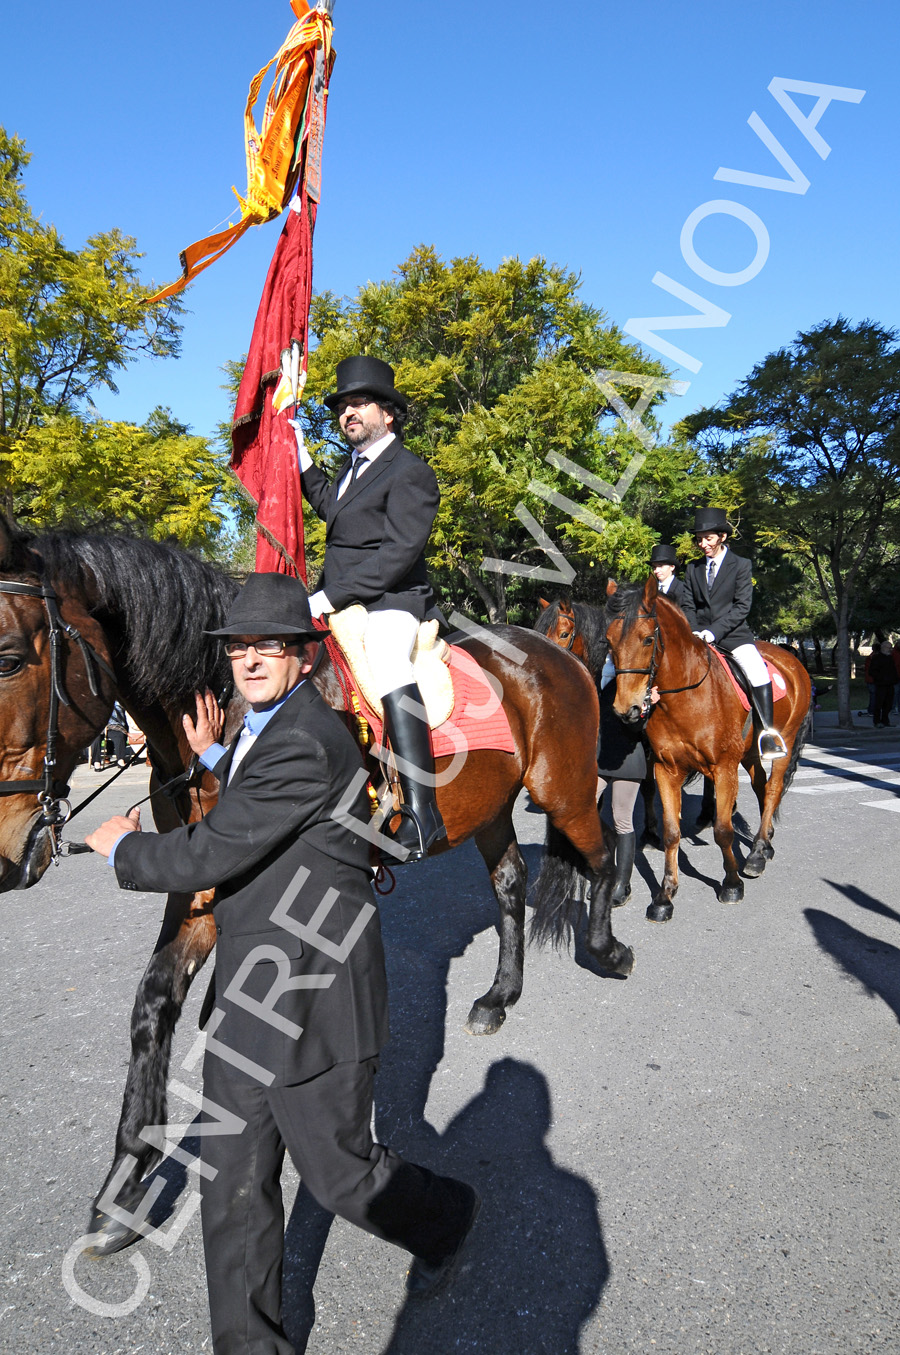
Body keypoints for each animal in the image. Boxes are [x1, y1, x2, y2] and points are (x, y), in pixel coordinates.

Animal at [0, 517, 631, 1246]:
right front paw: (126, 1182)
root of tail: (557, 657)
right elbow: (155, 1002)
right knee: (509, 882)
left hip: (563, 791)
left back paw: (610, 949)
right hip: (495, 808)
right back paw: (498, 997)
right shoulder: (197, 882)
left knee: (602, 856)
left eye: (8, 658)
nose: (7, 853)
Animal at [607, 571, 813, 921]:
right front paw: (665, 896)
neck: (686, 695)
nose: (627, 709)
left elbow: (723, 829)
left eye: (647, 639)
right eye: (608, 640)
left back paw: (757, 854)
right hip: (749, 753)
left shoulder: (724, 768)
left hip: (782, 740)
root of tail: (790, 657)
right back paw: (764, 845)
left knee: (772, 789)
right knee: (761, 786)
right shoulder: (665, 769)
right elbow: (672, 832)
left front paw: (731, 885)